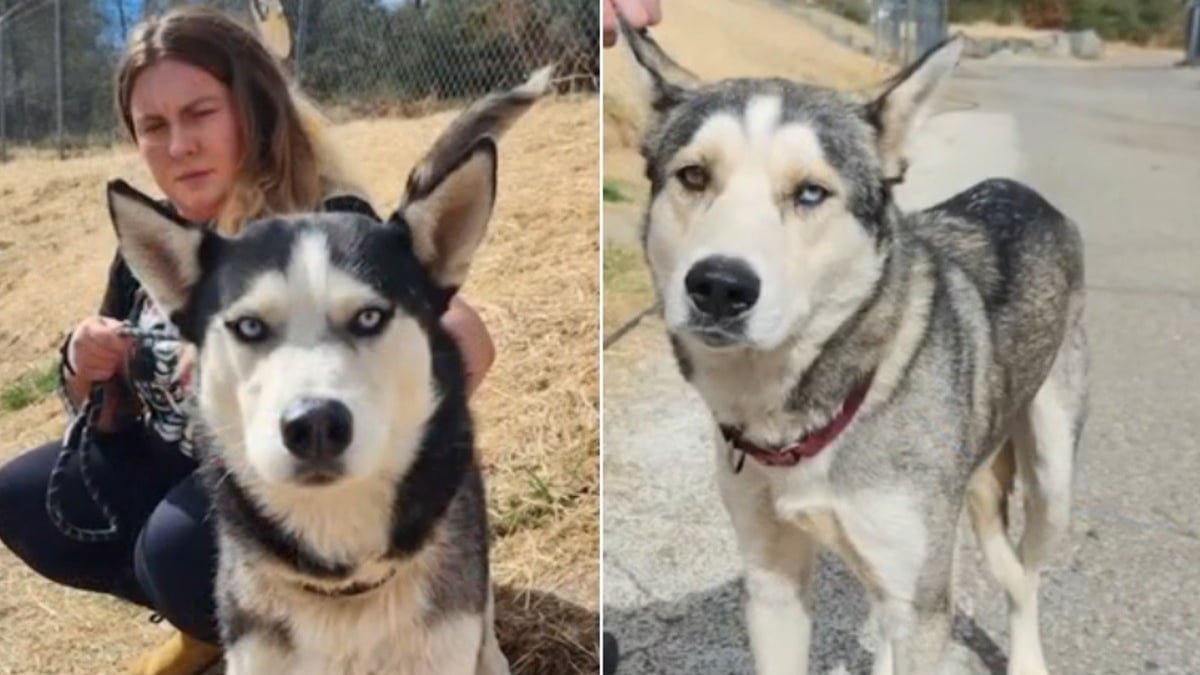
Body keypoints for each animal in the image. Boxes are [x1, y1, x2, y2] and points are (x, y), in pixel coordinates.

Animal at [619, 21, 1089, 672]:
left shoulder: (922, 608)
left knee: (1025, 575)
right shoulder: (772, 580)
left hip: (1051, 476)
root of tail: (1024, 191)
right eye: (693, 176)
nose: (718, 287)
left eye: (811, 193)